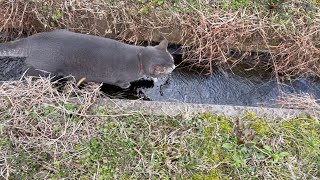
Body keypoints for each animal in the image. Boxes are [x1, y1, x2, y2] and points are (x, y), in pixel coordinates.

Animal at [0, 29, 175, 88]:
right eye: (168, 67)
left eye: (173, 61)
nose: (174, 67)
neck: (140, 57)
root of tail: (34, 39)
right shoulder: (122, 78)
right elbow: (123, 83)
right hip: (42, 69)